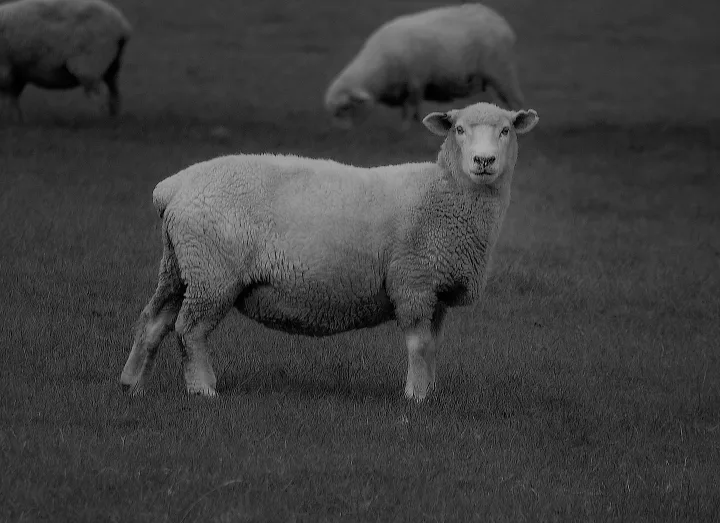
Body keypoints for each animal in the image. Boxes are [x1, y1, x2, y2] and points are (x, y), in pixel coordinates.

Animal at [0, 0, 131, 121]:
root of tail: (122, 27)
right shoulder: (18, 72)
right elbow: (13, 98)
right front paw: (17, 121)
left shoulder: (5, 69)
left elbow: (8, 97)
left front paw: (11, 122)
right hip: (112, 65)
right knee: (114, 93)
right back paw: (114, 119)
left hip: (90, 65)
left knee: (100, 96)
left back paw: (102, 122)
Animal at [120, 101, 539, 401]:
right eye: (459, 129)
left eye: (505, 130)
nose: (483, 161)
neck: (444, 192)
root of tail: (173, 187)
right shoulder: (413, 281)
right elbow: (419, 345)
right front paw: (416, 397)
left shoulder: (435, 290)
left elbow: (433, 346)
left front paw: (430, 392)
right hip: (212, 271)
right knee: (189, 330)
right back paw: (203, 389)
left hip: (179, 265)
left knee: (152, 321)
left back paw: (132, 384)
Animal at [324, 4, 525, 130]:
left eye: (345, 108)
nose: (341, 132)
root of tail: (501, 22)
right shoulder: (407, 87)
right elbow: (409, 111)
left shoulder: (415, 83)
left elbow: (411, 109)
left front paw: (407, 129)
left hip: (502, 72)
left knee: (516, 101)